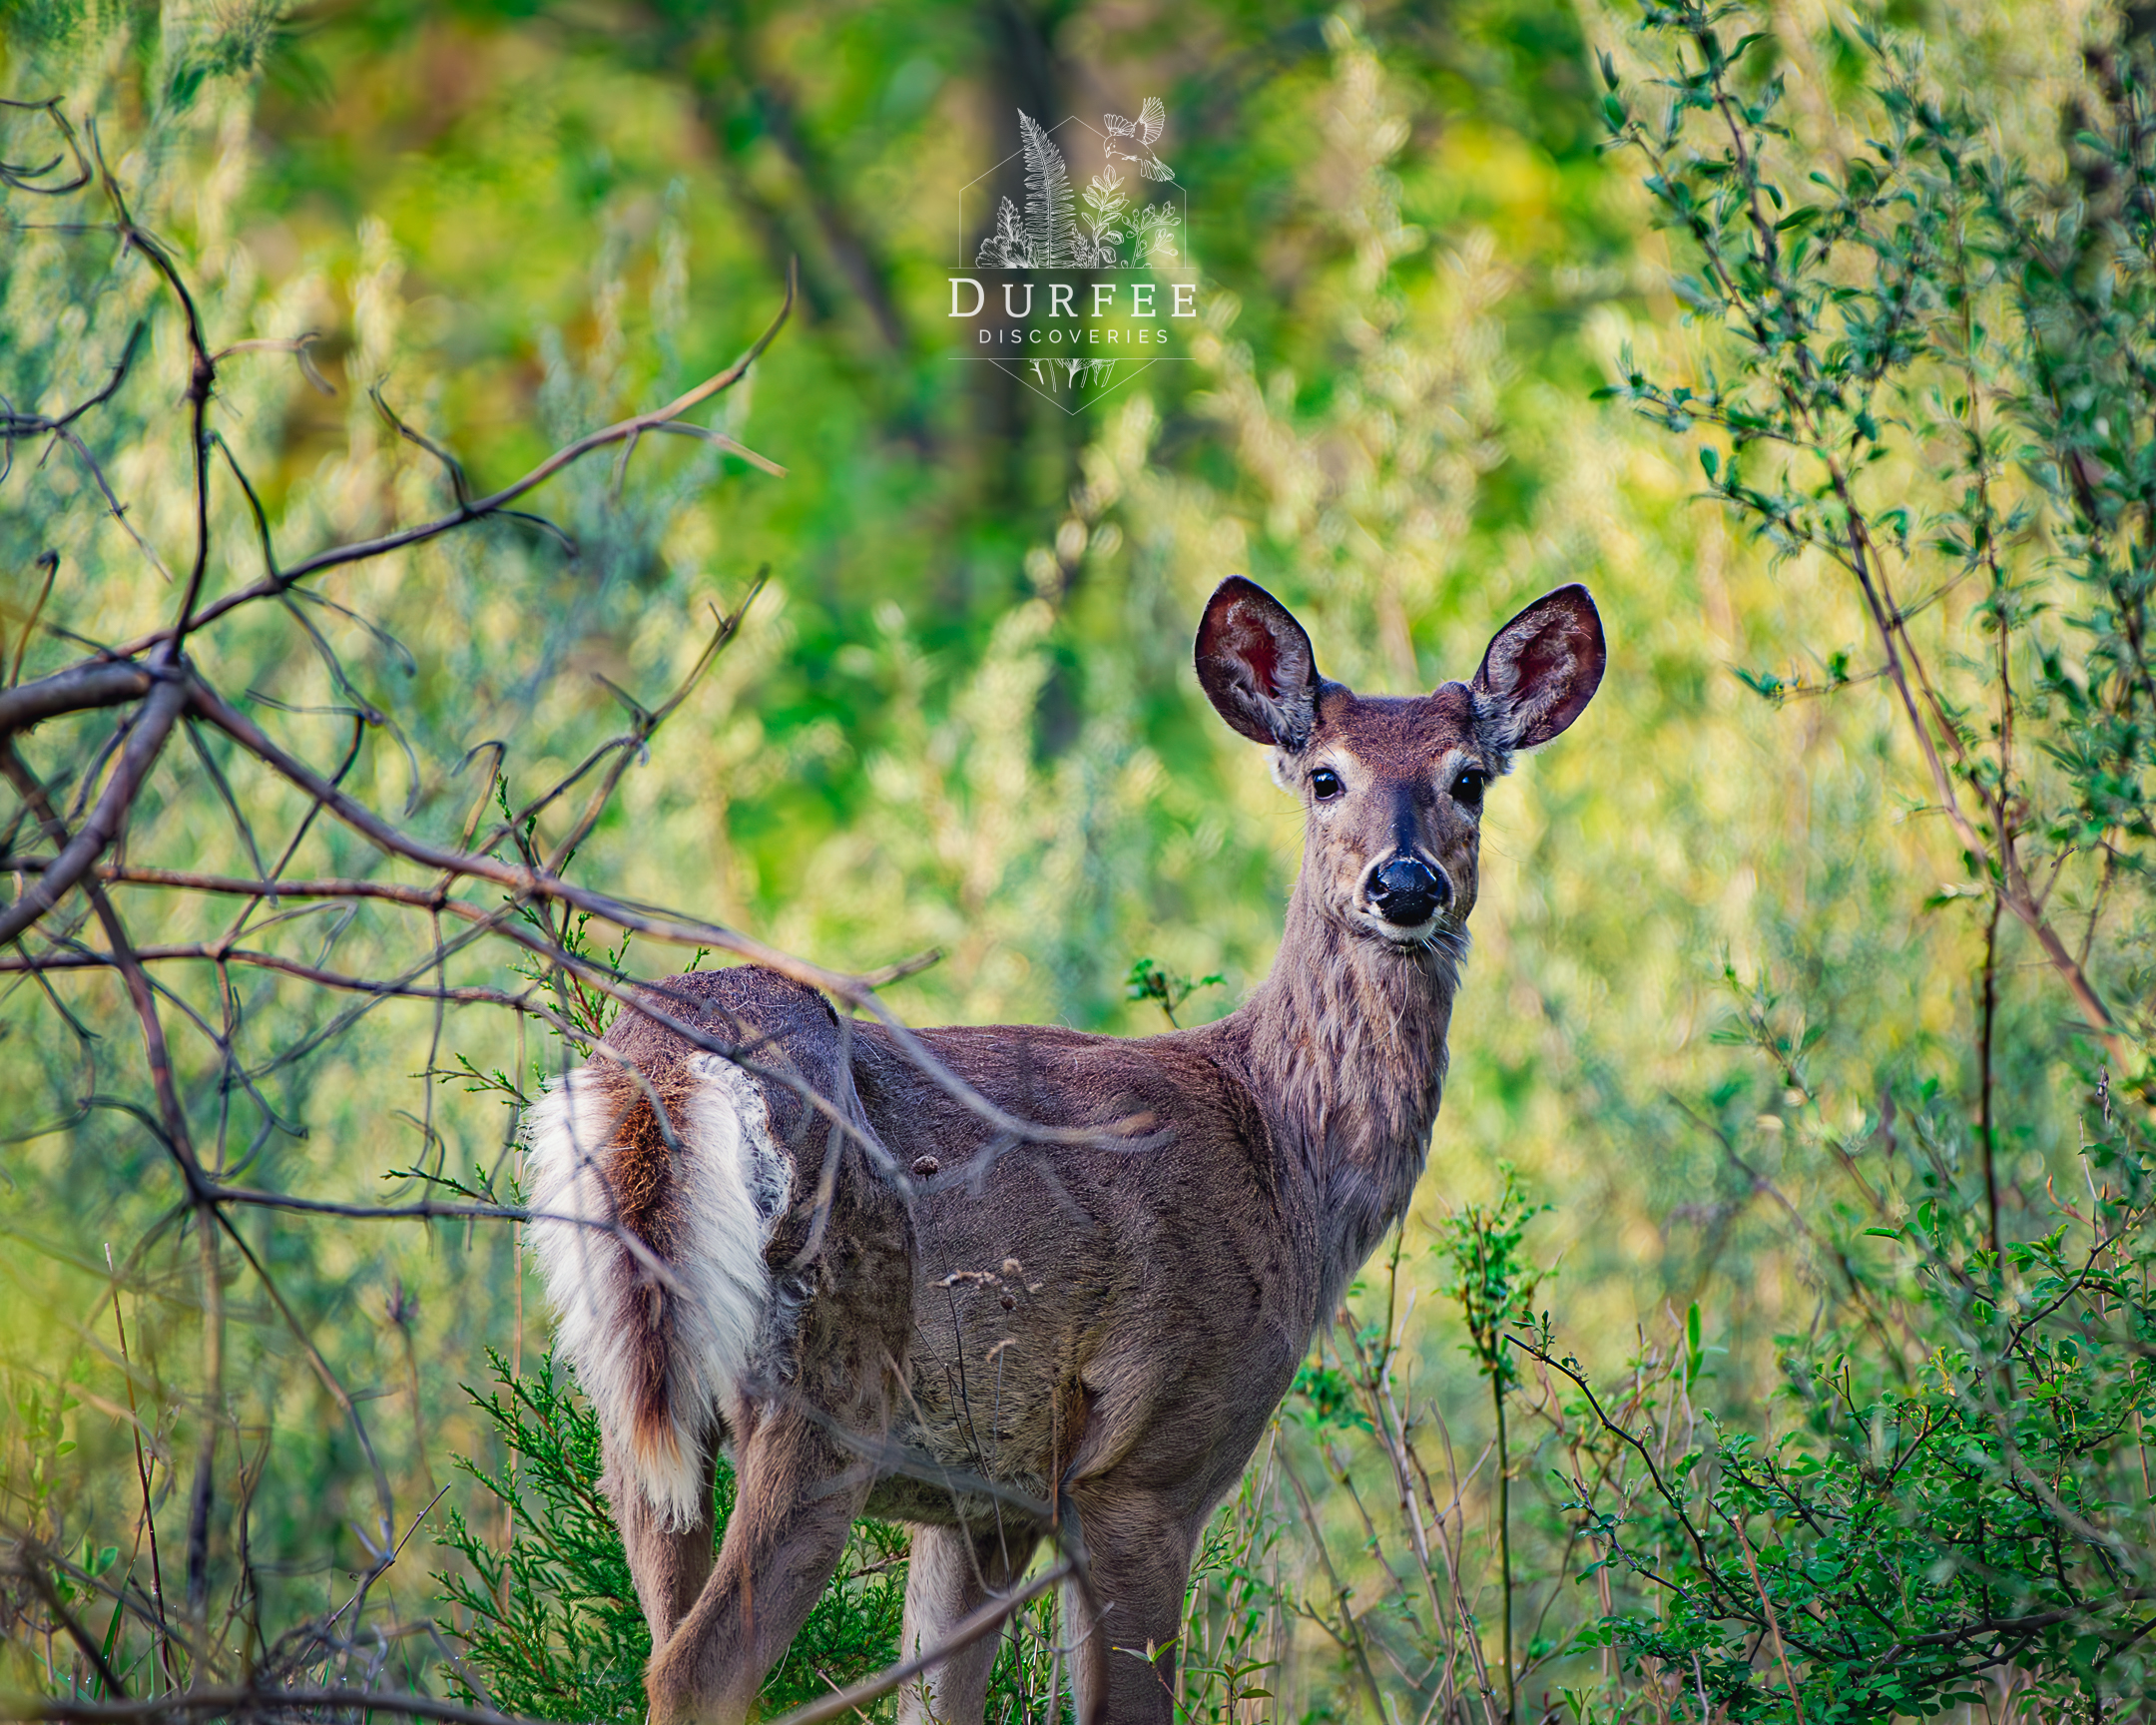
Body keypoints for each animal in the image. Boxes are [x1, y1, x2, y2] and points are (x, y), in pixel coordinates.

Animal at [522, 574, 1605, 1725]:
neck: (1282, 1156)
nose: (1405, 885)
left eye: (1469, 779)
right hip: (829, 1383)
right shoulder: (1149, 1462)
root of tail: (659, 1066)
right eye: (1325, 776)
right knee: (698, 1665)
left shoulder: (986, 1496)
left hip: (640, 1413)